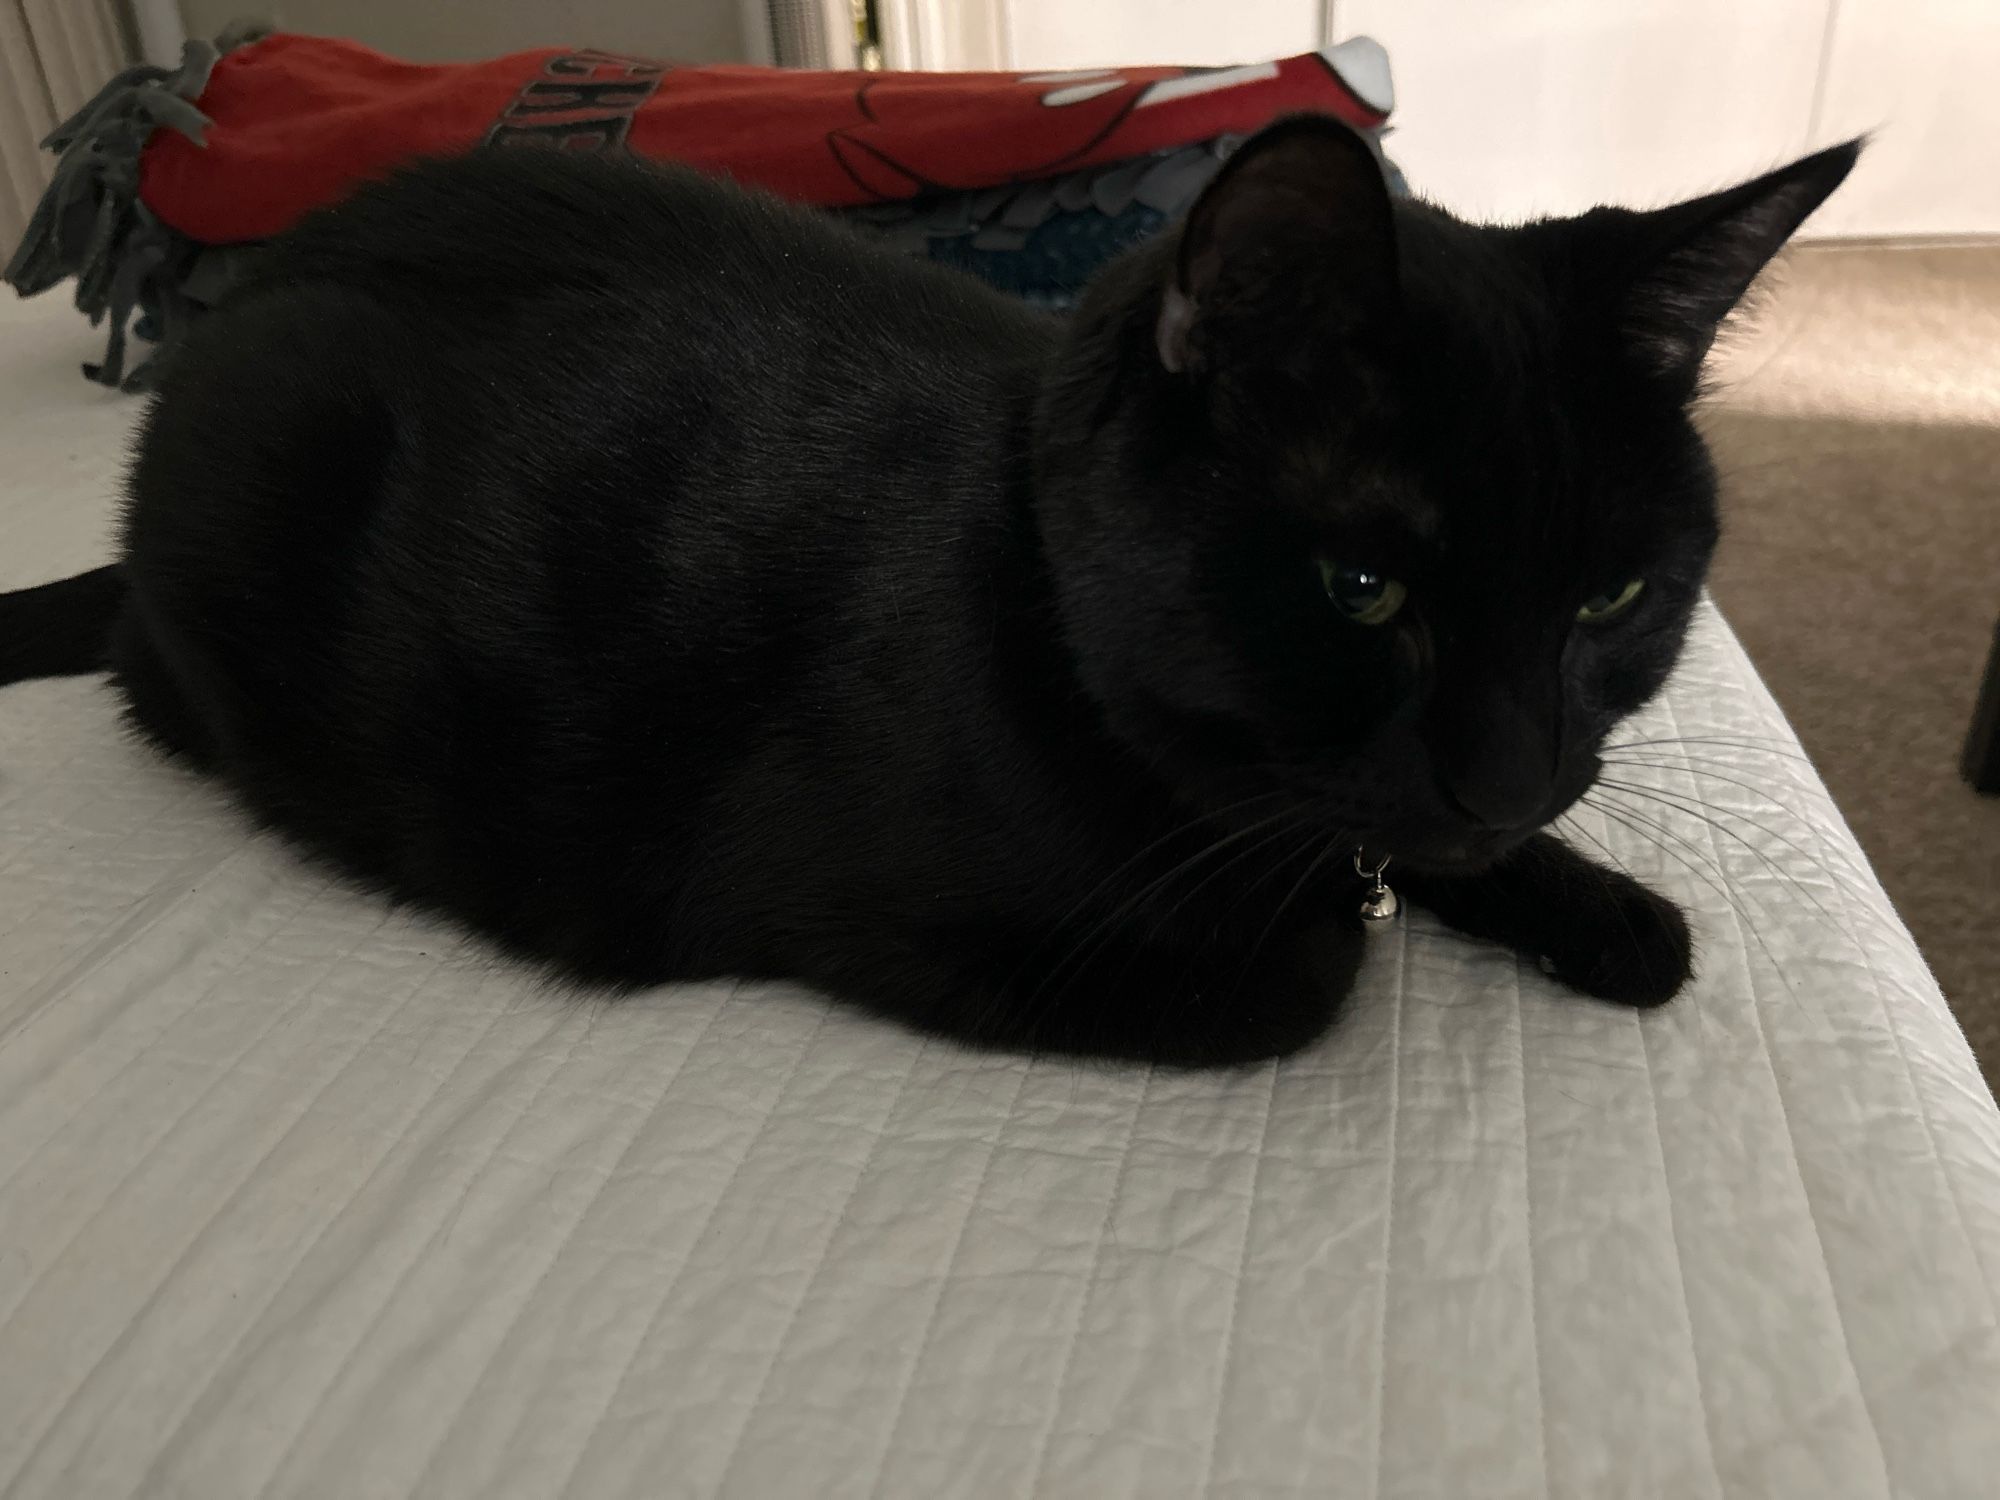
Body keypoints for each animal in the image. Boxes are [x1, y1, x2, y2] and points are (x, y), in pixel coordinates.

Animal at [0, 120, 1856, 1072]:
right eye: (1361, 585)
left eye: (1616, 596)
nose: (1511, 773)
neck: (1027, 592)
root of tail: (268, 284)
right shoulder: (855, 910)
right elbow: (1311, 967)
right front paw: (1370, 913)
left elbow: (1406, 856)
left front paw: (1597, 906)